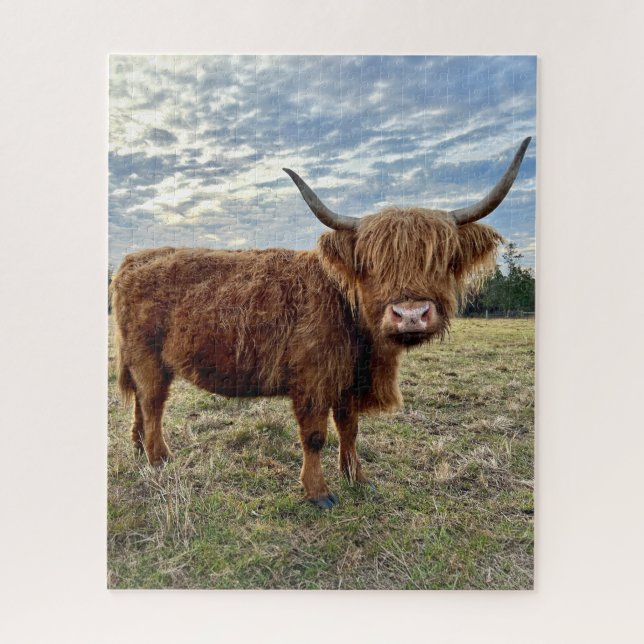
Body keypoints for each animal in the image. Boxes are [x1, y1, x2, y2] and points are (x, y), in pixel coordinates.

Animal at [111, 137, 531, 508]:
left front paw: (357, 478)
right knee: (153, 403)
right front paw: (319, 493)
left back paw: (138, 448)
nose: (410, 314)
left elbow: (350, 429)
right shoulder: (312, 379)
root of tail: (133, 258)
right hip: (148, 358)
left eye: (440, 259)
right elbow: (314, 436)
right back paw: (159, 458)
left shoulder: (347, 381)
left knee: (141, 403)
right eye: (371, 264)